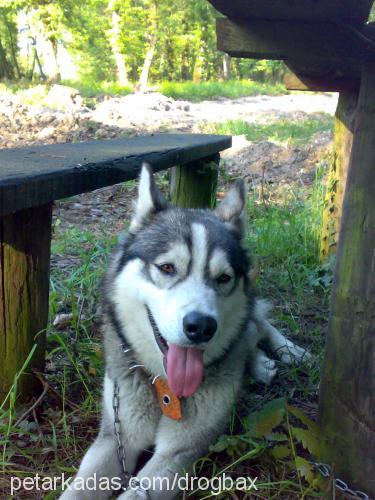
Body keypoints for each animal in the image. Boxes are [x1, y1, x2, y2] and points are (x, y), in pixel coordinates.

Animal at [61, 163, 308, 496]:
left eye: (223, 278)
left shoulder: (178, 452)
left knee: (256, 323)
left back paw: (288, 352)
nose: (201, 327)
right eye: (167, 268)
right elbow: (79, 486)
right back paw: (260, 361)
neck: (164, 388)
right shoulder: (116, 436)